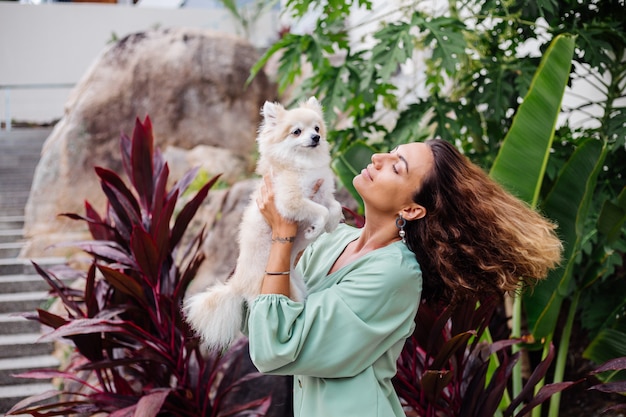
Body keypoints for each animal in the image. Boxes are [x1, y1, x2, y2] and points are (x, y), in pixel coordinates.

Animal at [183, 96, 344, 350]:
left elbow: (334, 207)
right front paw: (315, 228)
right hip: (286, 293)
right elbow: (319, 210)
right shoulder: (290, 201)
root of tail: (237, 284)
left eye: (317, 128)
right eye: (297, 132)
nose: (315, 138)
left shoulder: (323, 192)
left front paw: (331, 223)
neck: (303, 164)